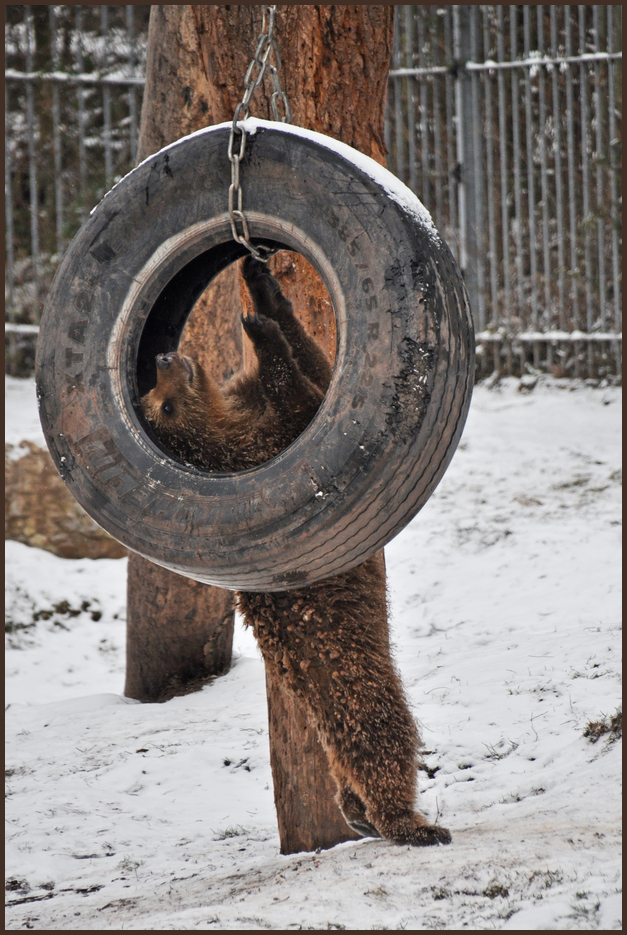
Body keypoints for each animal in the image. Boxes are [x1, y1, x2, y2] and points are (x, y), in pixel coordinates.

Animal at [141, 256, 452, 848]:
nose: (163, 357)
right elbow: (299, 388)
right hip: (356, 687)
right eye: (161, 402)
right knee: (384, 744)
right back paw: (413, 823)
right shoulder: (264, 441)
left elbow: (319, 363)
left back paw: (357, 814)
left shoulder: (254, 407)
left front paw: (262, 290)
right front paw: (260, 330)